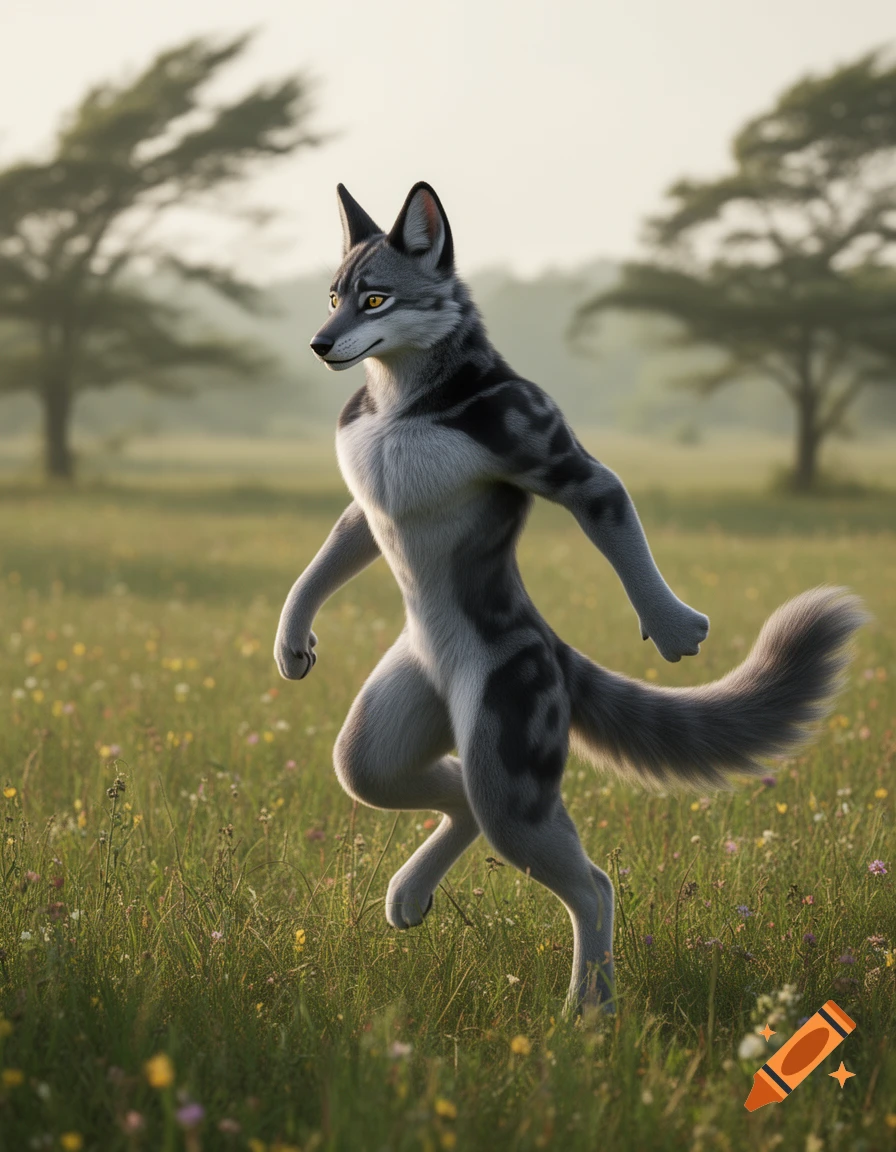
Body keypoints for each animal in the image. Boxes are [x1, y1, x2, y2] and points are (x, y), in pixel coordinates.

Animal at [274, 181, 866, 1014]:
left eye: (376, 298)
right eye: (333, 296)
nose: (321, 344)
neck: (403, 400)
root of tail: (548, 641)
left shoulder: (547, 445)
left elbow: (606, 496)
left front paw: (669, 622)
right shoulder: (367, 508)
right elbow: (335, 550)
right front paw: (291, 638)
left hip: (510, 735)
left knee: (590, 884)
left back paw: (589, 1011)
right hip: (400, 716)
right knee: (408, 782)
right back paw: (420, 893)